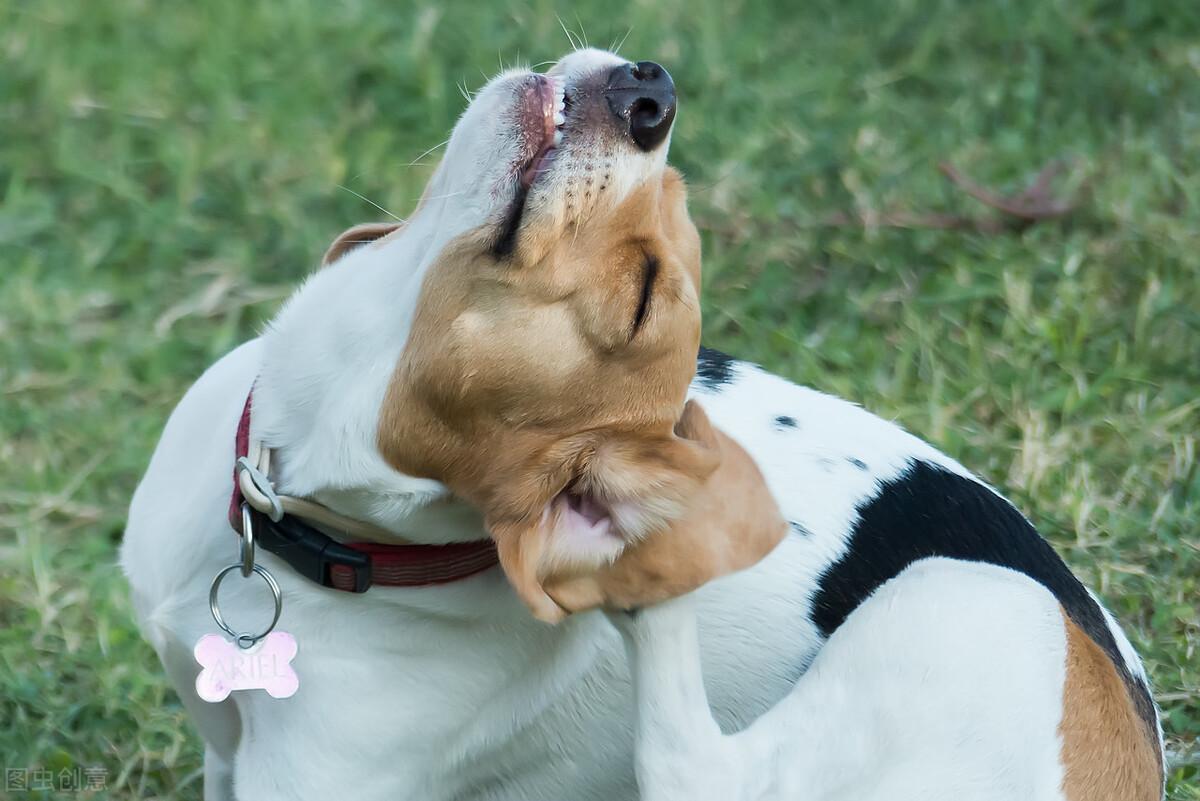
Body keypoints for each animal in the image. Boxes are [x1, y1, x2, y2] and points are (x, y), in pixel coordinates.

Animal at [121, 50, 1161, 801]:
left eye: (640, 300)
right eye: (678, 199)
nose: (653, 92)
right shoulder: (224, 758)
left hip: (972, 600)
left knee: (694, 766)